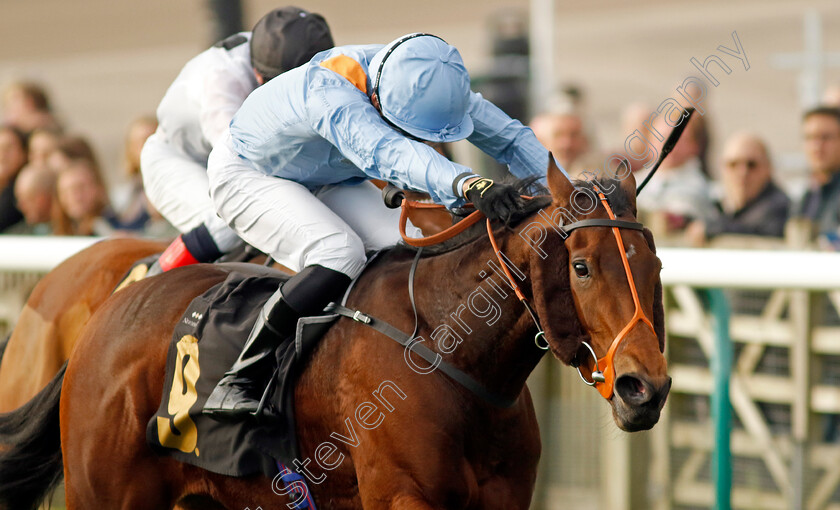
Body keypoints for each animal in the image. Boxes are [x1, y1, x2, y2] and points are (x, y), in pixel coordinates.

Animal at [0, 162, 668, 510]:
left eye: (655, 265)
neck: (449, 353)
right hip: (105, 493)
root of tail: (108, 315)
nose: (646, 388)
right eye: (581, 266)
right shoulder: (404, 497)